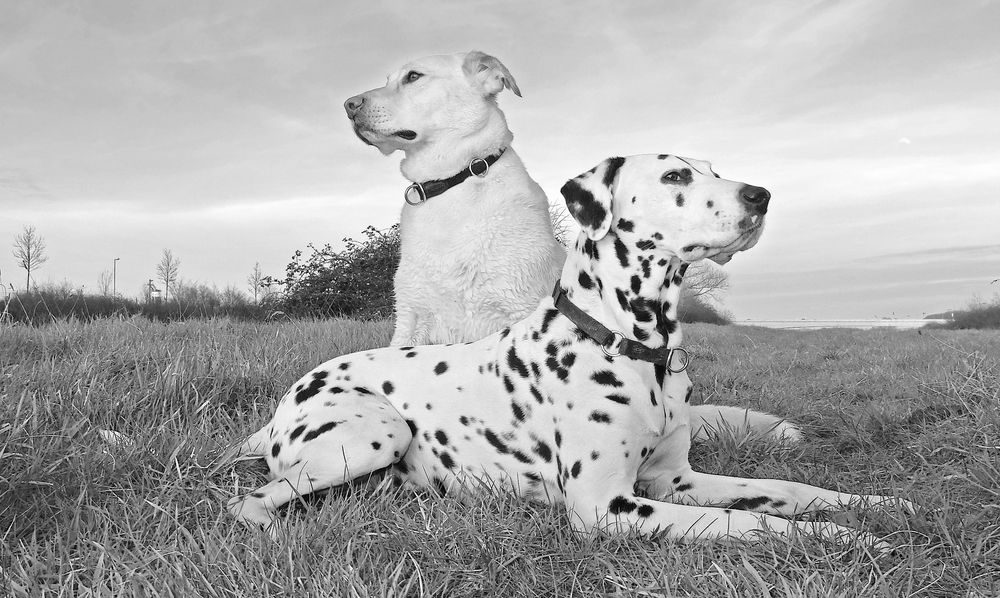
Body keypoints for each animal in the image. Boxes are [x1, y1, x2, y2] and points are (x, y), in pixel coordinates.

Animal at [229, 155, 908, 548]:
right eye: (675, 175)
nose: (761, 195)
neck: (636, 348)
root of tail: (283, 404)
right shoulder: (607, 506)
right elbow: (747, 521)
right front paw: (840, 537)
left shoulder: (678, 479)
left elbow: (784, 489)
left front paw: (874, 505)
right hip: (375, 433)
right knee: (251, 500)